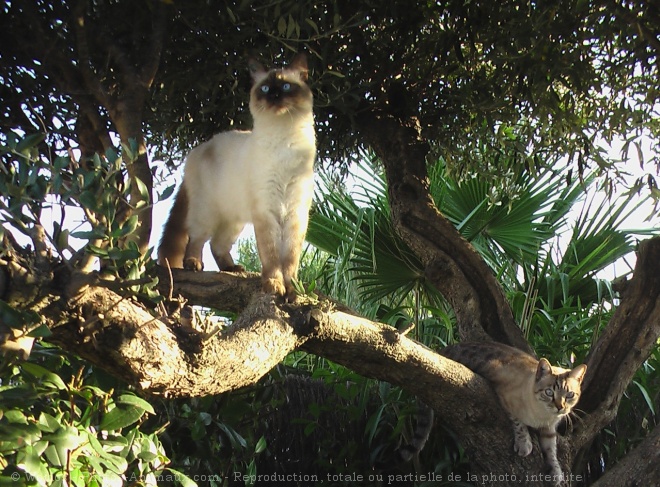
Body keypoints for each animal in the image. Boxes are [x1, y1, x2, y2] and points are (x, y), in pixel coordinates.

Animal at [159, 55, 316, 304]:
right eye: (265, 88)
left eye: (285, 86)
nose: (274, 96)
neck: (284, 141)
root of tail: (199, 148)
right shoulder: (266, 212)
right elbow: (272, 256)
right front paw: (274, 285)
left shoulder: (295, 213)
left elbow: (290, 259)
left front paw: (293, 290)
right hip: (207, 212)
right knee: (196, 239)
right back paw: (193, 264)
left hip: (233, 220)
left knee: (217, 244)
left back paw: (232, 268)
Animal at [440, 342, 584, 486]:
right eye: (549, 392)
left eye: (570, 395)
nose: (560, 407)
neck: (543, 416)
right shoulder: (505, 398)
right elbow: (519, 424)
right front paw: (524, 445)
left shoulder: (549, 428)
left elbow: (551, 449)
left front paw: (556, 473)